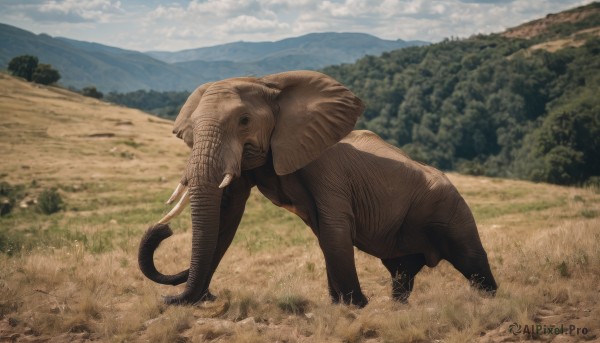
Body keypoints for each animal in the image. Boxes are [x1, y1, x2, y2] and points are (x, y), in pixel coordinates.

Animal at [137, 70, 496, 310]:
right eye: (191, 129)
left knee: (472, 261)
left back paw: (490, 301)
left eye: (244, 121)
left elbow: (334, 229)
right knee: (402, 272)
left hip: (450, 210)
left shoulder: (326, 170)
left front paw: (355, 306)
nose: (162, 230)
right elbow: (227, 216)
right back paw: (398, 308)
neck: (270, 84)